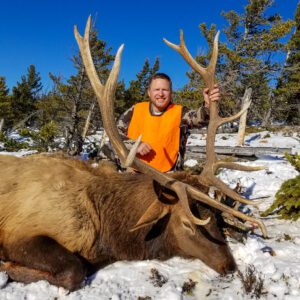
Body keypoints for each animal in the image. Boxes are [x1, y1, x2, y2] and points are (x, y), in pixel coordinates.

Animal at [0, 17, 268, 290]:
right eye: (187, 223)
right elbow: (73, 271)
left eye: (213, 215)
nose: (229, 266)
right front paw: (8, 266)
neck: (106, 233)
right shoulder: (21, 230)